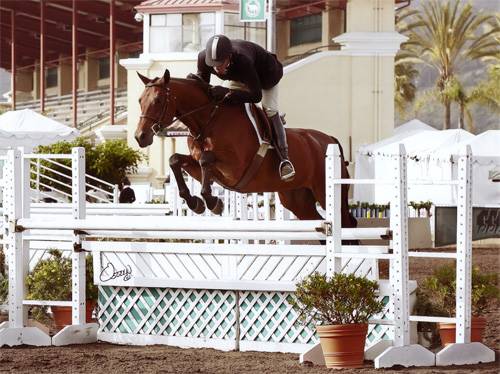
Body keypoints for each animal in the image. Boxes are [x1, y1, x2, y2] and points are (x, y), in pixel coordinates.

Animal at [135, 69, 358, 229]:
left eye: (157, 100)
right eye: (139, 100)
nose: (140, 137)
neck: (208, 120)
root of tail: (328, 138)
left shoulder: (235, 168)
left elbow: (206, 159)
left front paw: (213, 202)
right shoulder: (198, 165)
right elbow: (175, 159)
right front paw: (195, 202)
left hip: (326, 192)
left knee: (347, 224)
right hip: (297, 200)